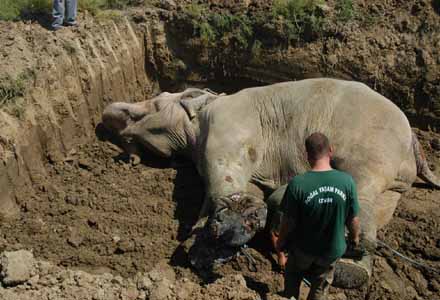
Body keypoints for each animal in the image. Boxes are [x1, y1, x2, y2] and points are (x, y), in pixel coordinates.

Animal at [100, 78, 440, 288]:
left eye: (157, 103)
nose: (127, 155)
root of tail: (414, 139)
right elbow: (249, 189)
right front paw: (209, 241)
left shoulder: (229, 121)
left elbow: (225, 165)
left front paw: (221, 234)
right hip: (396, 183)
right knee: (379, 212)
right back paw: (349, 270)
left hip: (374, 147)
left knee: (361, 192)